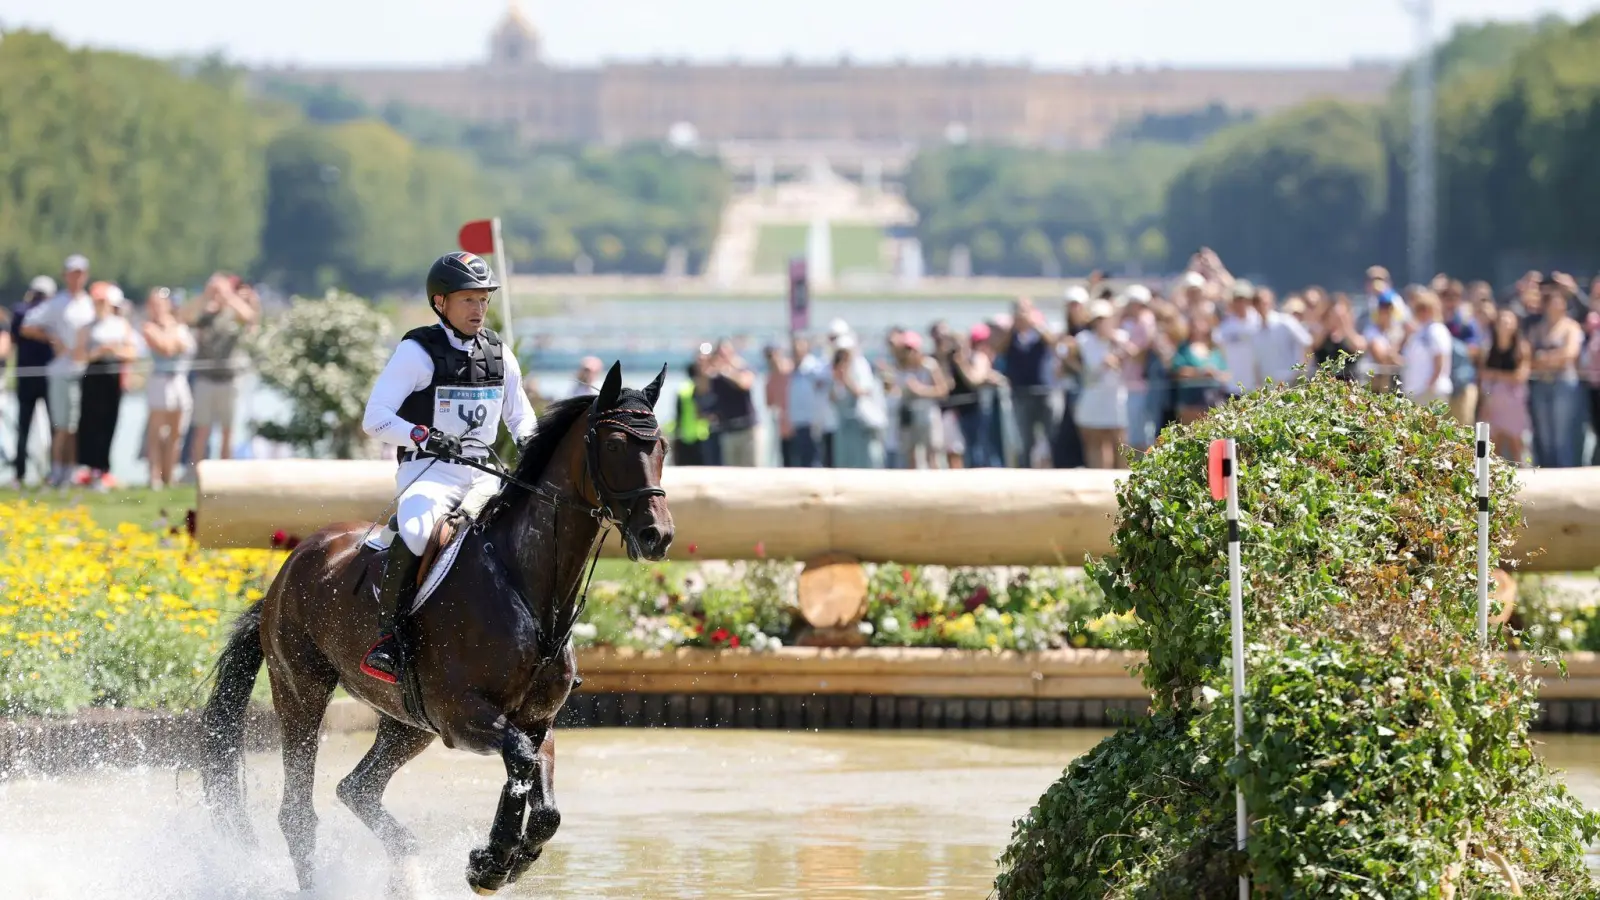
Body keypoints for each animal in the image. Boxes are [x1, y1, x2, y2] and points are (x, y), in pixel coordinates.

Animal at [200, 360, 675, 890]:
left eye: (661, 446)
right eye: (613, 445)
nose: (657, 535)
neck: (528, 591)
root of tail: (286, 572)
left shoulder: (536, 722)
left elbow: (544, 801)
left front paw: (503, 860)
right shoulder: (462, 714)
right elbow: (520, 764)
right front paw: (491, 859)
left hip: (408, 724)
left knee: (358, 788)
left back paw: (407, 857)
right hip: (302, 693)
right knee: (299, 814)